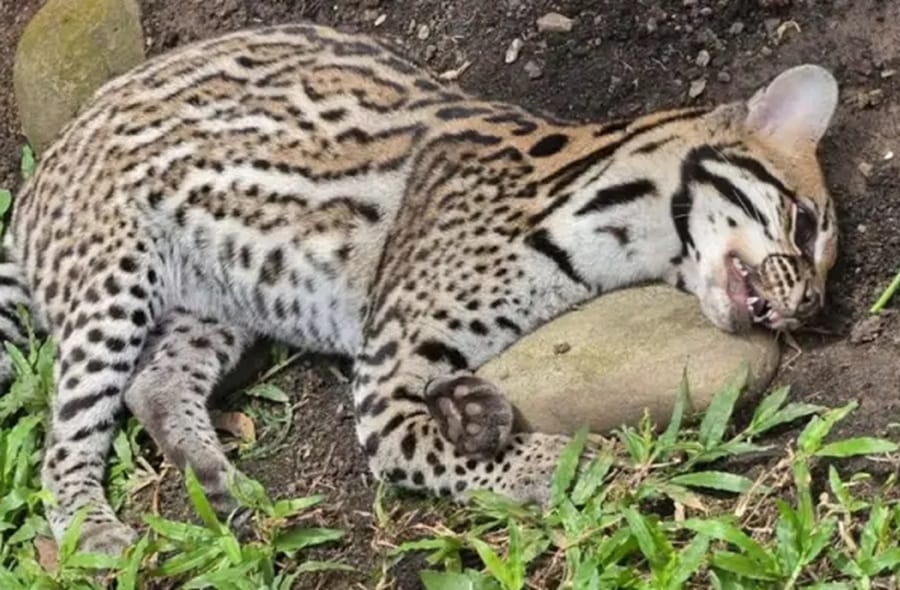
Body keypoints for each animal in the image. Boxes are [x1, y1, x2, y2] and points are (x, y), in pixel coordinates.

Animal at [0, 23, 839, 554]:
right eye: (806, 225)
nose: (812, 307)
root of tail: (43, 172)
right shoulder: (383, 379)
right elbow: (425, 451)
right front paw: (571, 464)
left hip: (218, 301)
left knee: (155, 384)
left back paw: (215, 477)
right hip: (113, 279)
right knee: (67, 432)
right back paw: (86, 521)